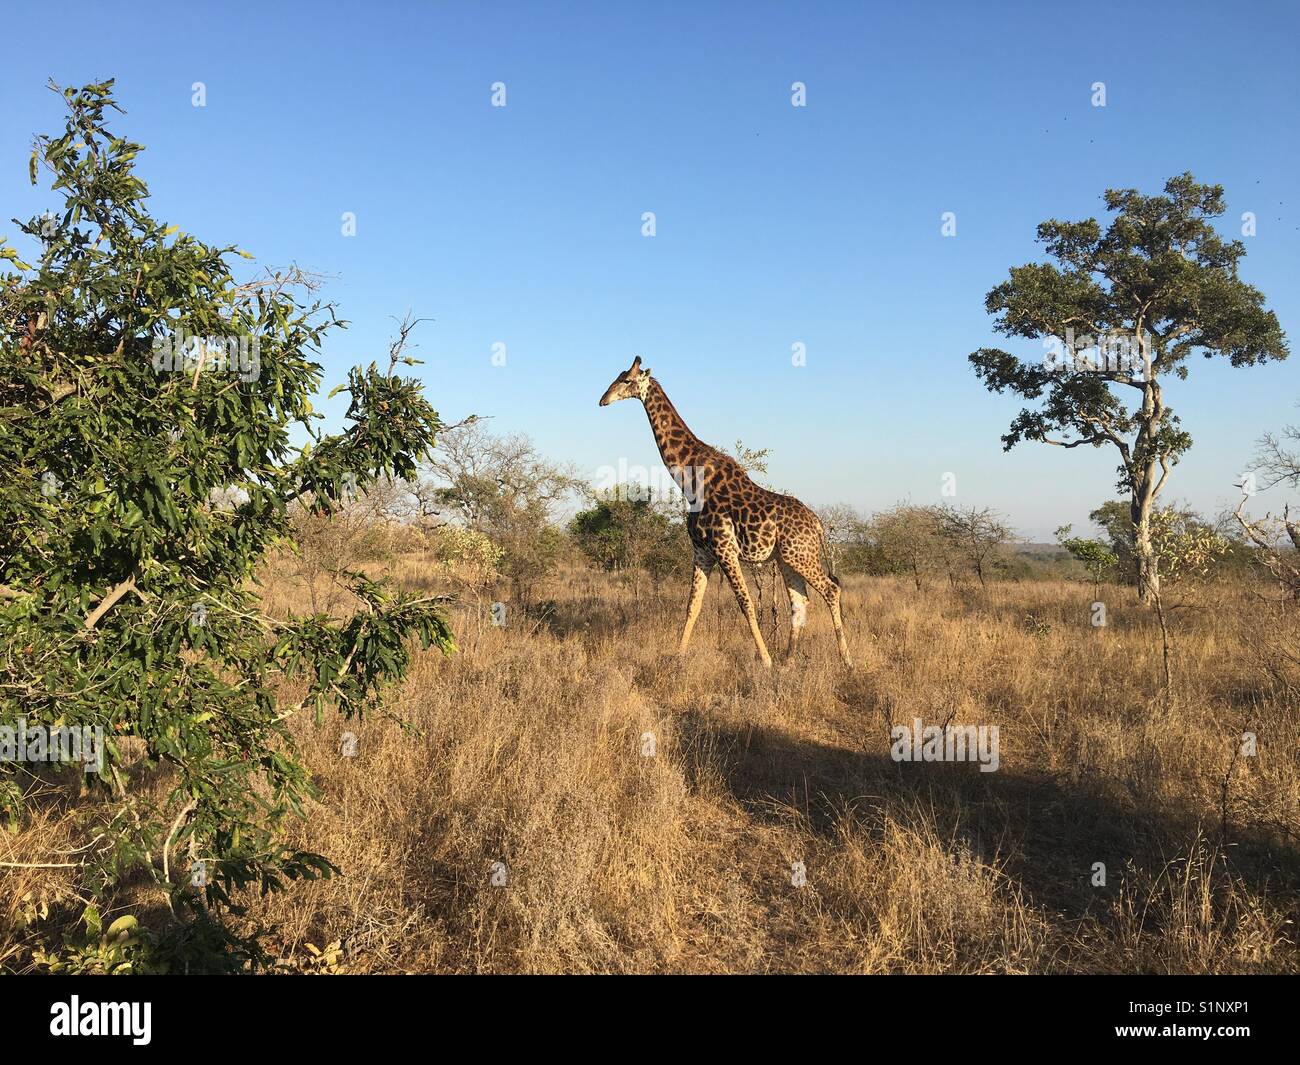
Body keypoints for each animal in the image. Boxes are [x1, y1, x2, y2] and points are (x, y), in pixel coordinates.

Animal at [599, 356, 852, 669]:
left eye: (626, 380)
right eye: (618, 377)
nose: (603, 400)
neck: (688, 479)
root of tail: (817, 524)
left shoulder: (724, 548)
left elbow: (746, 603)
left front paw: (765, 659)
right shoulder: (701, 551)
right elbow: (692, 605)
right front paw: (678, 656)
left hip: (800, 555)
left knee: (831, 589)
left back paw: (845, 660)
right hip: (786, 559)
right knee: (799, 601)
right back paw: (789, 660)